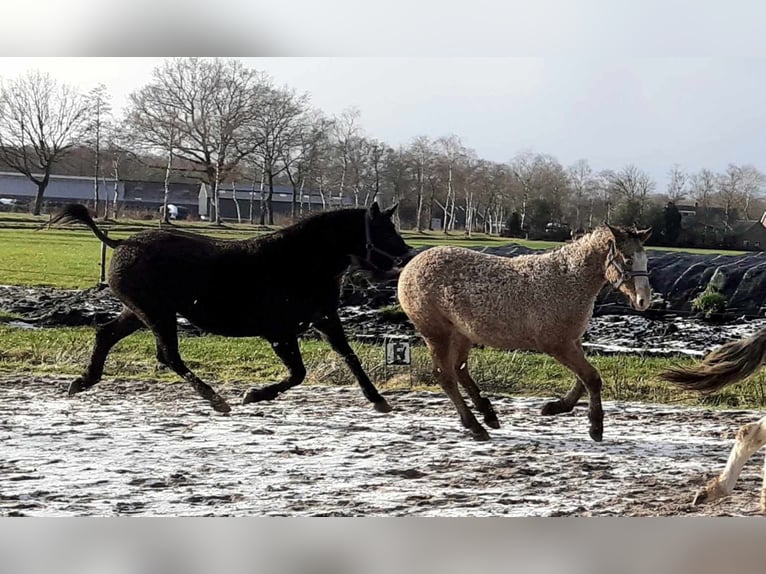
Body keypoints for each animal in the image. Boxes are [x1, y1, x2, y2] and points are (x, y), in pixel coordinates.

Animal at [48, 202, 415, 414]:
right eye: (384, 230)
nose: (408, 257)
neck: (299, 261)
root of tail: (123, 242)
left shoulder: (324, 319)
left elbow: (349, 356)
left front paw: (378, 400)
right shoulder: (279, 331)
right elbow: (297, 373)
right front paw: (254, 395)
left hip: (139, 313)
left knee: (106, 335)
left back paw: (83, 381)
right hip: (156, 313)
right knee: (168, 356)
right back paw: (216, 399)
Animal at [397, 225, 652, 441]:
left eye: (646, 260)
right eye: (628, 259)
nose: (643, 301)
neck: (567, 280)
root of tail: (410, 266)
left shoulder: (573, 340)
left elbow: (583, 379)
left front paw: (555, 407)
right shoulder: (558, 344)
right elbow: (591, 378)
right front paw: (595, 427)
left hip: (462, 334)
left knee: (459, 370)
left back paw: (488, 414)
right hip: (437, 333)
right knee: (446, 376)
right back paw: (476, 427)